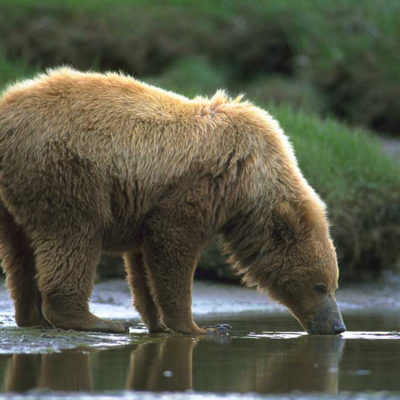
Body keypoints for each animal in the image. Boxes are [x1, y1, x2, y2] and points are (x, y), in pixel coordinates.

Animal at [0, 68, 344, 334]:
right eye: (320, 286)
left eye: (333, 284)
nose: (338, 325)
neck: (250, 179)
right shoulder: (199, 185)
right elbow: (172, 245)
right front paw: (202, 327)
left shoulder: (146, 202)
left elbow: (142, 264)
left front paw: (158, 322)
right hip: (65, 169)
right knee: (74, 236)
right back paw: (96, 321)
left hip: (15, 192)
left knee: (20, 251)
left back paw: (33, 316)